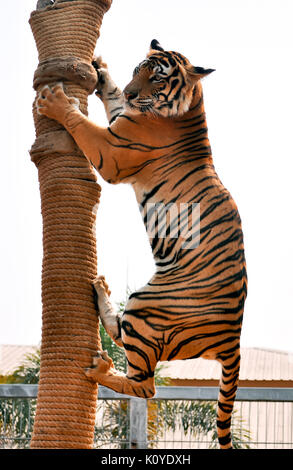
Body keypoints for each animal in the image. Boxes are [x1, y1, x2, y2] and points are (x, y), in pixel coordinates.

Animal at [36, 39, 246, 448]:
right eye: (138, 70)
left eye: (158, 78)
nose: (136, 94)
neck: (190, 106)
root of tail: (234, 335)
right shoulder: (121, 120)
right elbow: (113, 96)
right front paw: (101, 70)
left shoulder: (112, 151)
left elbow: (82, 124)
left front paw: (57, 102)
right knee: (125, 346)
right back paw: (100, 289)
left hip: (149, 307)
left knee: (145, 385)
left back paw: (99, 370)